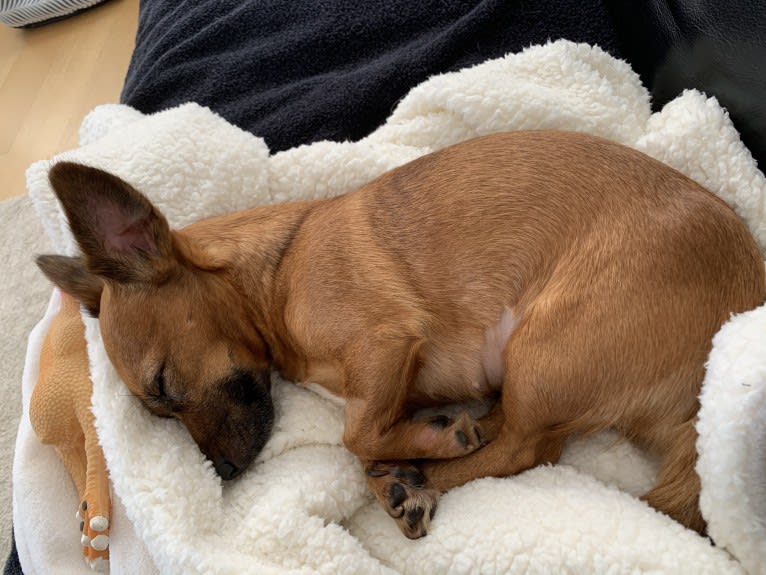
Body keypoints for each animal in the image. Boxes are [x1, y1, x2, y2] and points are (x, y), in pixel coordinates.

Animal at [39, 132, 764, 540]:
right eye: (159, 409)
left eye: (164, 384)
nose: (220, 473)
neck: (277, 270)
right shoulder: (397, 380)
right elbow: (369, 435)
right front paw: (411, 451)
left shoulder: (386, 344)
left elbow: (356, 434)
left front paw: (422, 449)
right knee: (517, 437)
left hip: (542, 349)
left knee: (524, 450)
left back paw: (431, 469)